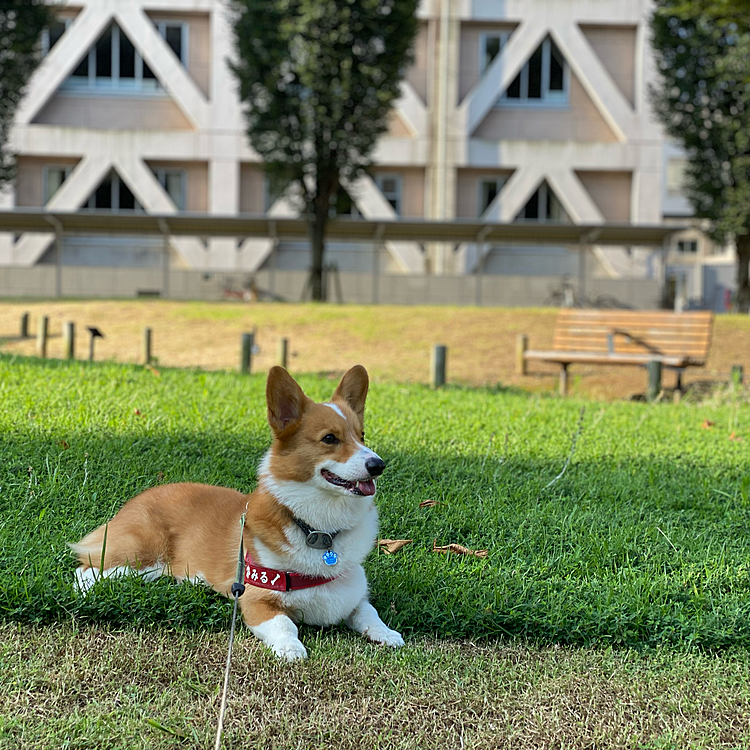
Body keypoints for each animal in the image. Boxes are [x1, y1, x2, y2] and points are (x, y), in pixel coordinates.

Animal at [72, 368, 406, 660]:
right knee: (87, 570)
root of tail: (136, 499)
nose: (378, 465)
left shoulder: (353, 595)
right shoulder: (258, 601)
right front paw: (291, 649)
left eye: (362, 435)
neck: (317, 529)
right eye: (329, 439)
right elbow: (285, 624)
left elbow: (369, 612)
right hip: (140, 556)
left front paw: (387, 633)